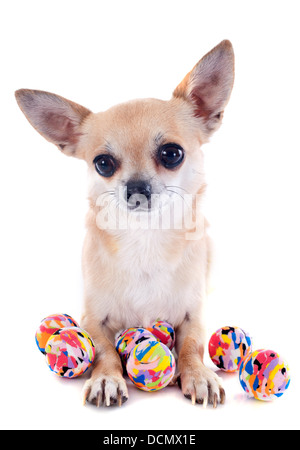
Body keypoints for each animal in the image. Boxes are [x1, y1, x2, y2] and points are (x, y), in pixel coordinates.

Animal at [15, 40, 234, 410]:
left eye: (172, 154)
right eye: (103, 163)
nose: (136, 188)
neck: (145, 240)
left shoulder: (194, 316)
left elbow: (192, 345)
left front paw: (198, 374)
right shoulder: (92, 318)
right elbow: (103, 348)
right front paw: (107, 378)